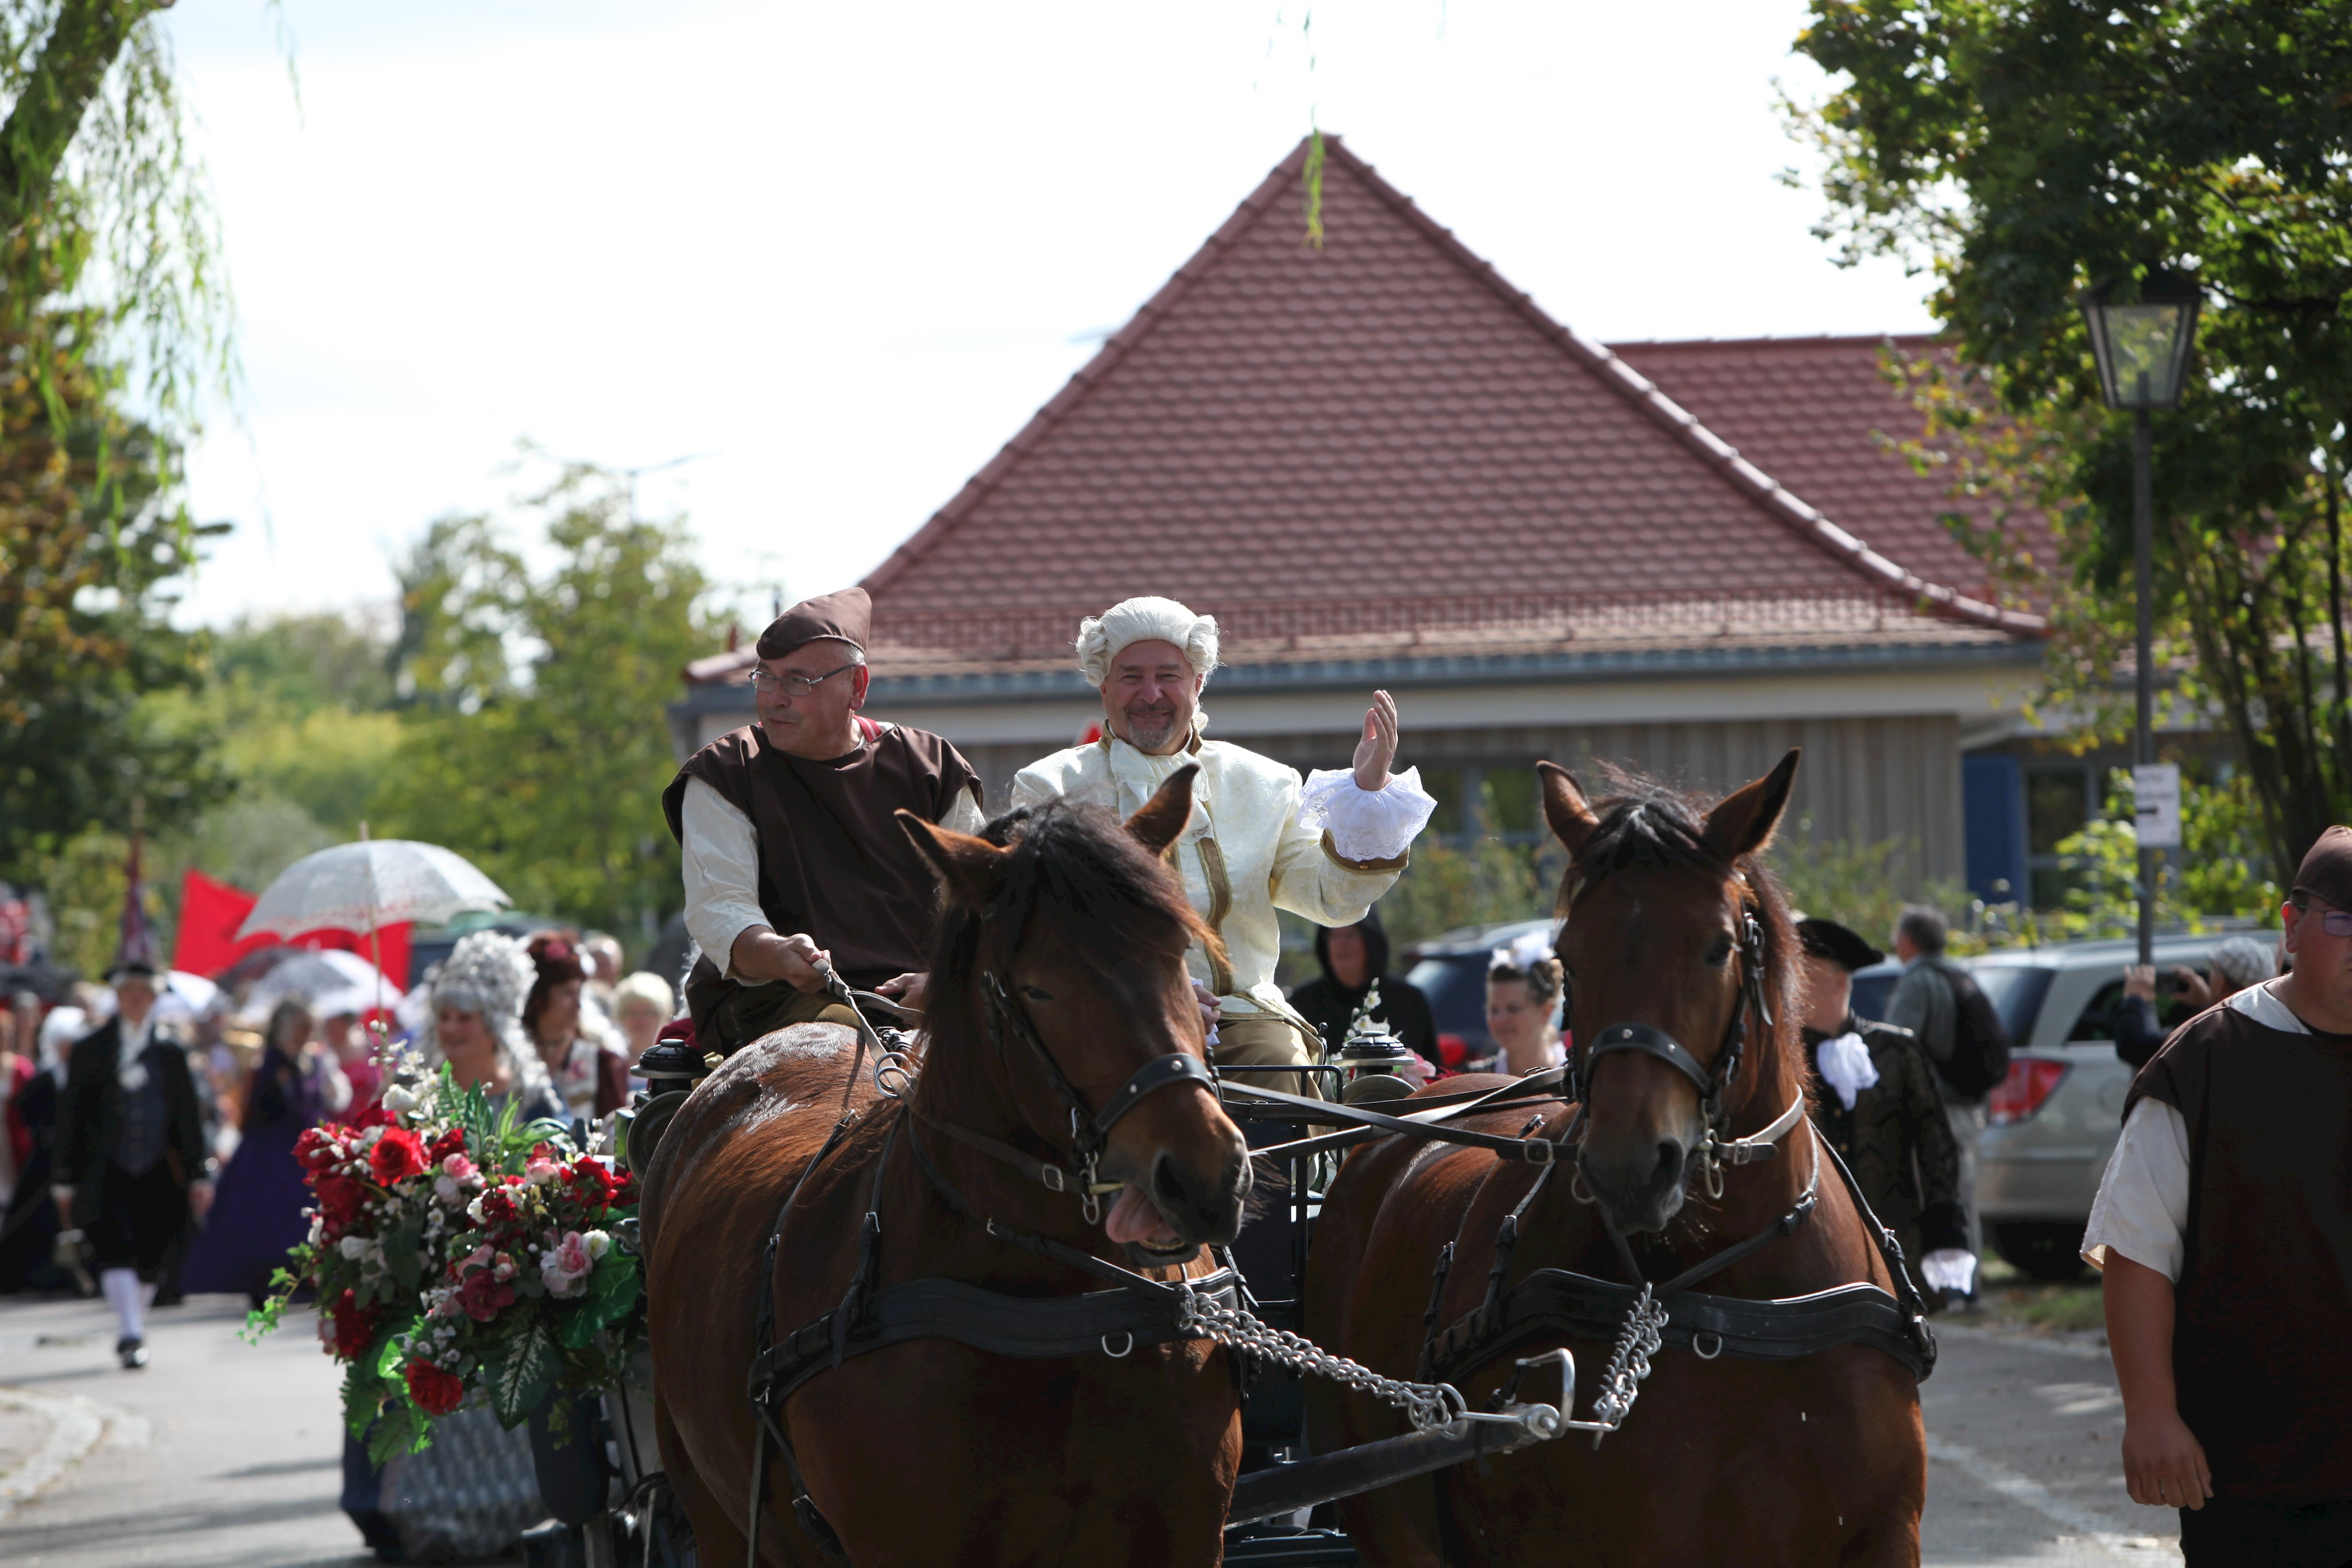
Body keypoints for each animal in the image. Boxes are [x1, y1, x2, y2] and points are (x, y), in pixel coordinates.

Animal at [644, 771, 1260, 1568]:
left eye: (1178, 950)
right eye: (1038, 987)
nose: (1203, 1176)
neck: (1062, 1299)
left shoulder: (1181, 1538)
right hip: (711, 1509)